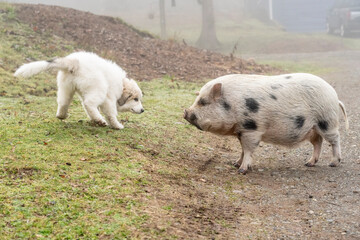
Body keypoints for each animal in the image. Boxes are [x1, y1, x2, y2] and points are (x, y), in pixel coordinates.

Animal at [14, 51, 143, 129]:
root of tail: (76, 63)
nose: (143, 110)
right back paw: (100, 120)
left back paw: (61, 115)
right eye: (136, 99)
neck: (122, 84)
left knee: (64, 102)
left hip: (66, 87)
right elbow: (111, 114)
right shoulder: (109, 99)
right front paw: (117, 125)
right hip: (99, 87)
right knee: (88, 104)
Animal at [184, 73, 348, 174]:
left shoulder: (252, 128)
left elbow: (248, 149)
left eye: (203, 102)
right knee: (318, 142)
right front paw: (234, 163)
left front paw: (241, 170)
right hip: (313, 128)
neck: (232, 104)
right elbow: (242, 149)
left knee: (335, 139)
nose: (185, 112)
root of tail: (334, 95)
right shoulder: (241, 130)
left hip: (327, 121)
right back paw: (308, 163)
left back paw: (333, 163)